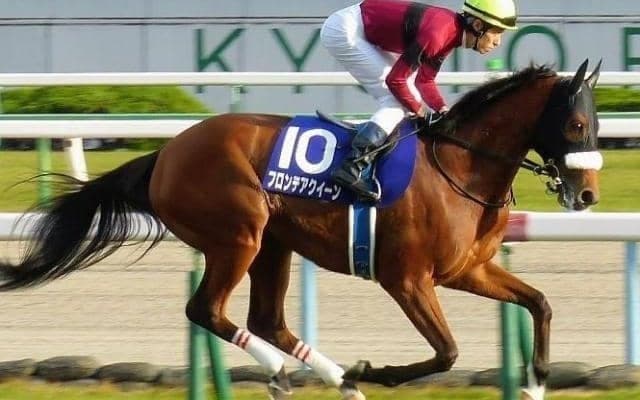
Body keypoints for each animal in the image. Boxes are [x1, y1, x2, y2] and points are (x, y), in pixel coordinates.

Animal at [0, 59, 602, 400]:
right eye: (576, 123)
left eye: (595, 124)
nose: (587, 194)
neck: (459, 164)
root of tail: (167, 152)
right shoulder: (407, 279)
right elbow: (448, 352)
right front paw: (380, 370)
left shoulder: (467, 268)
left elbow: (540, 303)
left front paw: (535, 382)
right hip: (238, 235)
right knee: (206, 311)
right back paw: (291, 373)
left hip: (274, 245)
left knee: (266, 320)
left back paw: (340, 380)